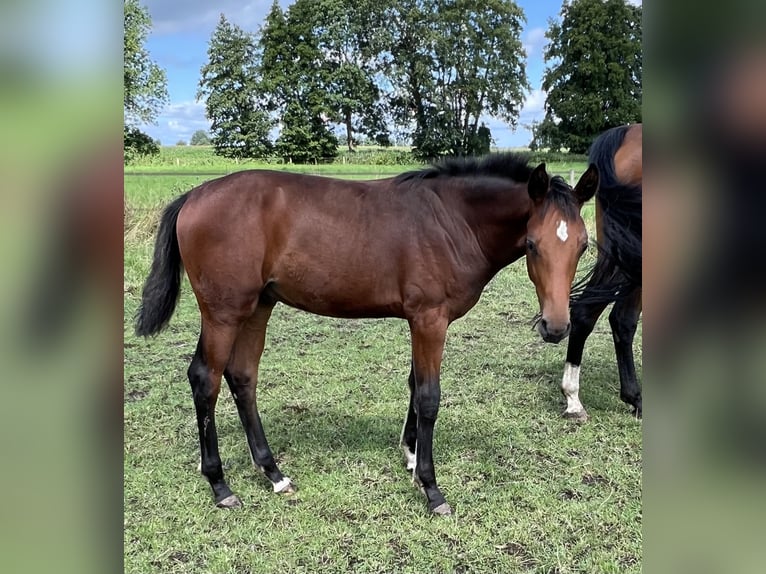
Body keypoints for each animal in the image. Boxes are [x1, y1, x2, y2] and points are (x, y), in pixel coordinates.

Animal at [136, 155, 600, 520]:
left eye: (582, 245)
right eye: (533, 244)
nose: (556, 327)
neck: (452, 220)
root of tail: (194, 196)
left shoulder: (420, 320)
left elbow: (414, 385)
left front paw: (410, 457)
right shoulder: (429, 319)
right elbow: (429, 396)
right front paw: (431, 489)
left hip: (257, 307)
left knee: (242, 377)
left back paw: (273, 474)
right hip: (224, 312)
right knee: (205, 379)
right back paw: (220, 485)